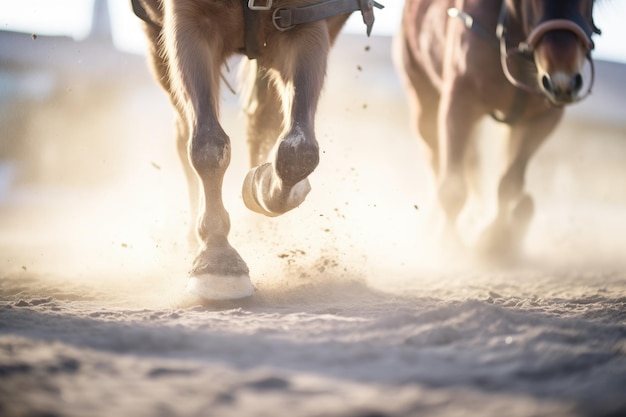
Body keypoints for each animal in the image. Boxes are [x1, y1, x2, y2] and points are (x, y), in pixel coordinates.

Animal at [132, 0, 382, 300]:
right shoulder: (190, 22)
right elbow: (208, 146)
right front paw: (216, 258)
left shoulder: (303, 22)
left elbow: (299, 152)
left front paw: (267, 188)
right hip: (157, 40)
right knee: (184, 132)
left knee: (266, 122)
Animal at [394, 0, 600, 260]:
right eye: (533, 2)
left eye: (590, 3)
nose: (563, 81)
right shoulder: (459, 103)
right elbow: (452, 188)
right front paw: (449, 244)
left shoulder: (544, 118)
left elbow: (509, 184)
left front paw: (496, 238)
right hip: (423, 101)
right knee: (436, 161)